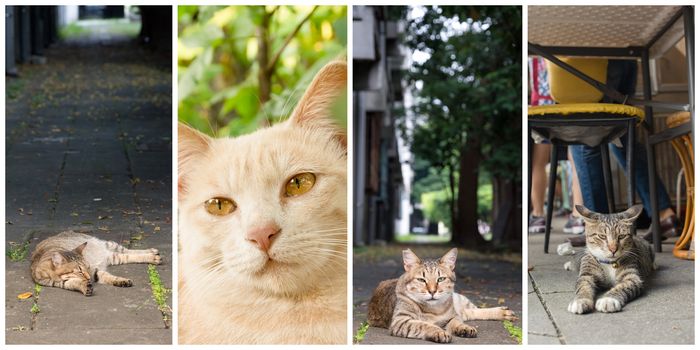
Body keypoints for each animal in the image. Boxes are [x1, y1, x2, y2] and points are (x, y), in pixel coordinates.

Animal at [370, 247, 516, 344]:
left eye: (440, 279)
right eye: (421, 280)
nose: (432, 291)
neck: (434, 309)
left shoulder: (452, 316)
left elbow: (457, 322)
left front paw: (463, 328)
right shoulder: (400, 321)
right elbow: (423, 325)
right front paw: (439, 331)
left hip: (459, 299)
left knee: (473, 310)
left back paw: (502, 312)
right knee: (469, 313)